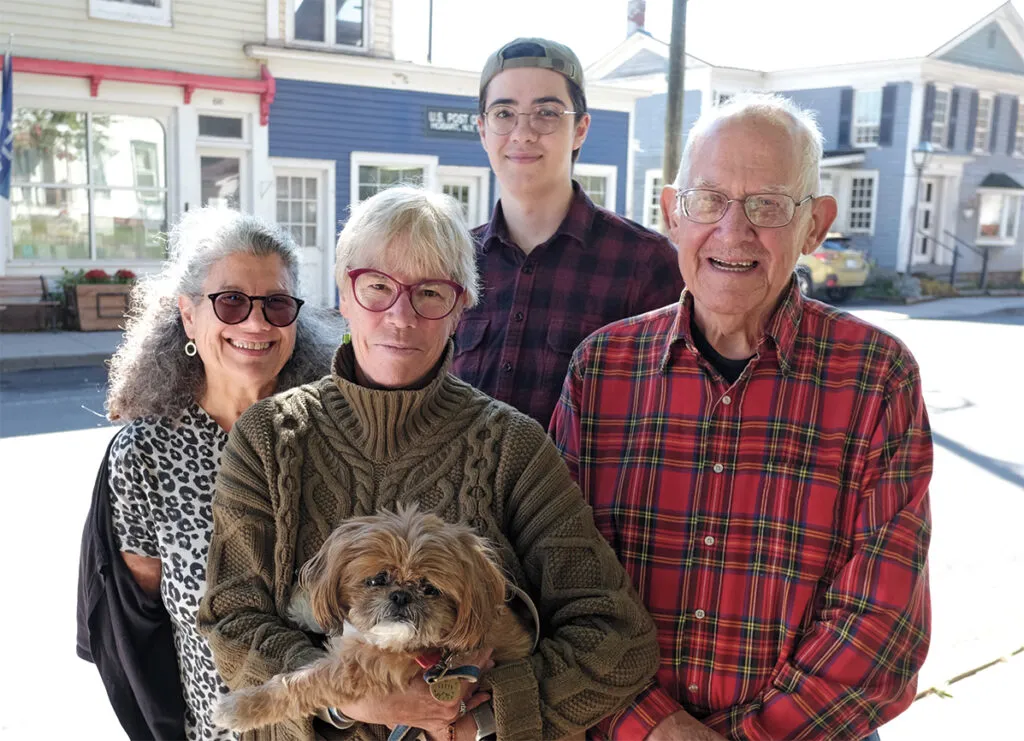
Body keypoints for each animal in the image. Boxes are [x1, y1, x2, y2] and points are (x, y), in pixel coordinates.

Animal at [216, 505, 536, 732]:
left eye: (430, 589)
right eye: (376, 580)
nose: (401, 596)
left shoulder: (357, 670)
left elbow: (300, 685)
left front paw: (241, 708)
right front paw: (303, 606)